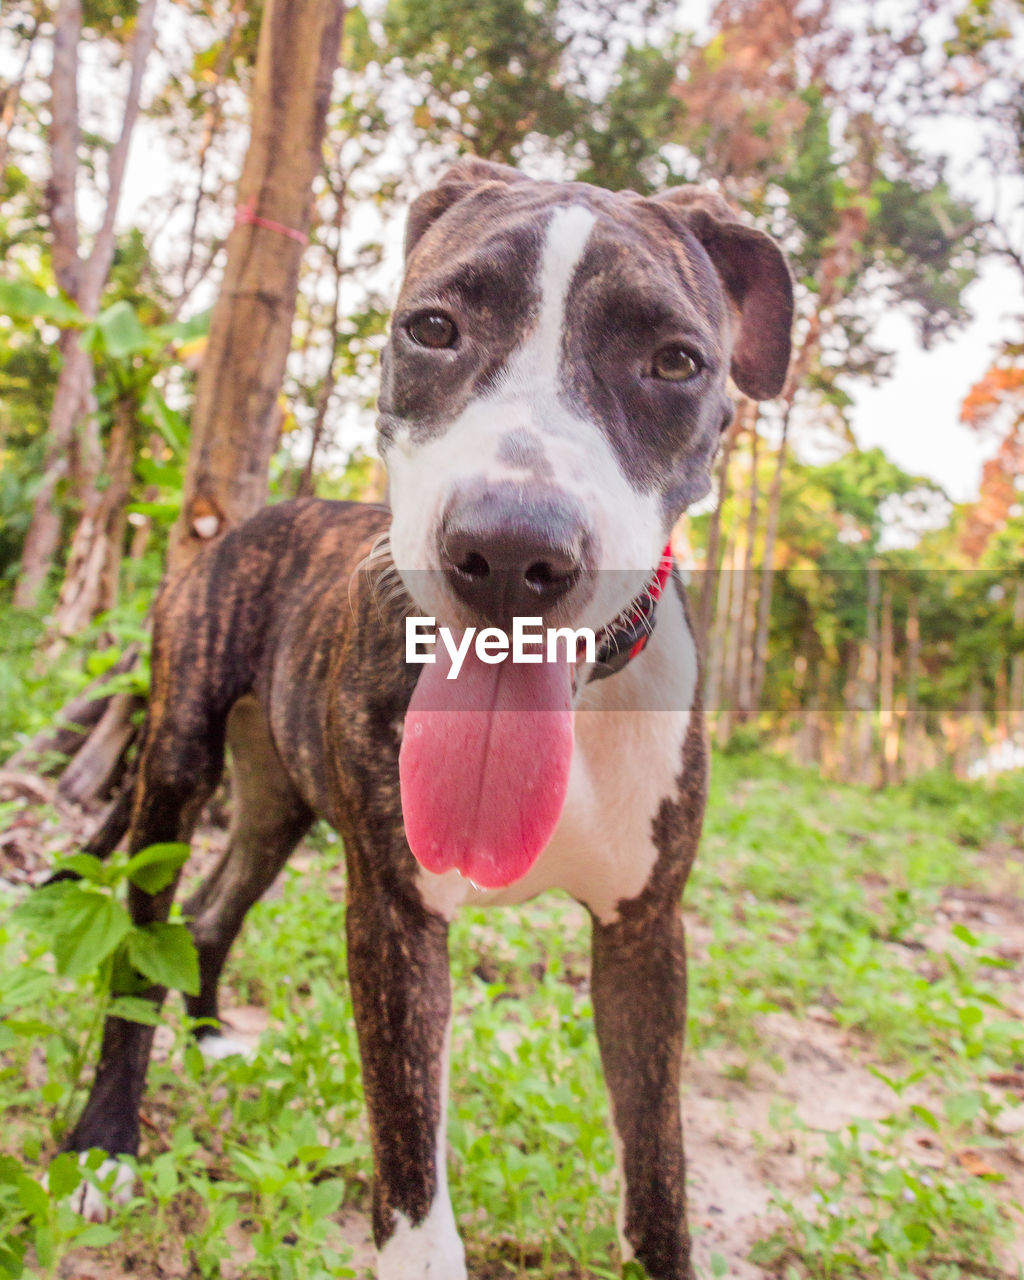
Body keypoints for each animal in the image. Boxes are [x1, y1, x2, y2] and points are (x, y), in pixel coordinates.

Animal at [64, 160, 793, 1280]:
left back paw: (213, 1034)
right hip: (178, 769)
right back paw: (106, 1138)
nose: (510, 547)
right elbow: (408, 1150)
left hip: (278, 802)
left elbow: (659, 1169)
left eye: (675, 361)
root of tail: (265, 514)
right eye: (433, 328)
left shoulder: (644, 935)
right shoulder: (396, 919)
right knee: (143, 942)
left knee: (213, 912)